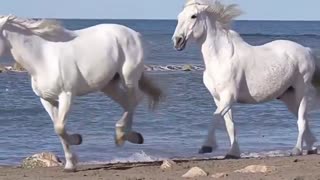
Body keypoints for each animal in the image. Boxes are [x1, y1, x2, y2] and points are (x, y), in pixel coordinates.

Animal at [0, 15, 162, 170]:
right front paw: (70, 163)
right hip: (108, 85)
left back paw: (124, 135)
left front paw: (77, 141)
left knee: (134, 100)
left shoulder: (66, 95)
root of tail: (135, 34)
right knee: (128, 103)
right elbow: (58, 128)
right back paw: (128, 136)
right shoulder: (46, 100)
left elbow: (60, 128)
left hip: (128, 78)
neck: (43, 59)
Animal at [174, 0, 318, 158]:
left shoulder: (228, 97)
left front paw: (207, 146)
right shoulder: (218, 98)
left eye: (193, 16)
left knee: (302, 120)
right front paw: (233, 153)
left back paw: (297, 150)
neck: (221, 58)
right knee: (303, 120)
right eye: (179, 16)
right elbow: (229, 124)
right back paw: (312, 147)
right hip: (288, 96)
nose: (177, 41)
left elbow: (215, 118)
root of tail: (307, 50)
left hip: (301, 92)